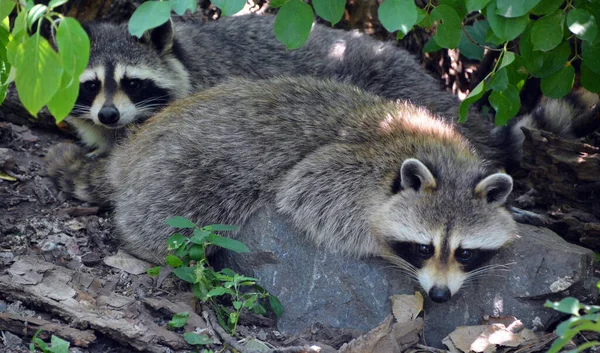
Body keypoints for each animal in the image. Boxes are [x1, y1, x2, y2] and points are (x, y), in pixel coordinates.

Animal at [48, 77, 516, 302]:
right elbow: (306, 193)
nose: (439, 296)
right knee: (179, 217)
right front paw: (381, 246)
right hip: (184, 166)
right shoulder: (344, 167)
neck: (441, 159)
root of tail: (130, 150)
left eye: (465, 253)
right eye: (422, 247)